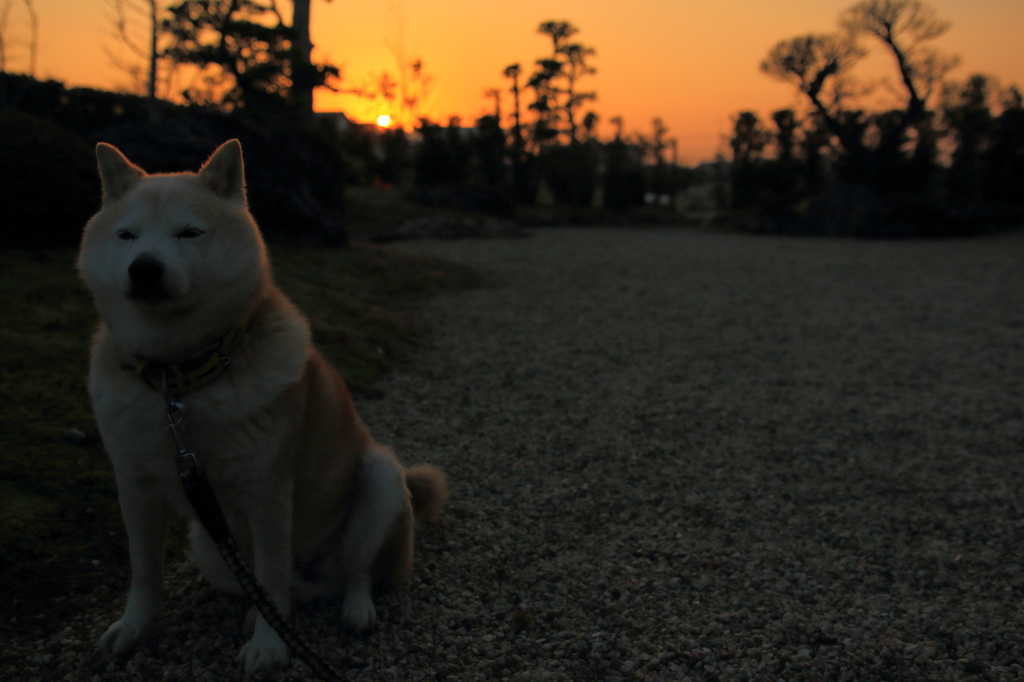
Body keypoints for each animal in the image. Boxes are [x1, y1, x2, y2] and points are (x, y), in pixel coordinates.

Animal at [79, 140, 448, 671]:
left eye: (189, 232)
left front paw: (271, 647)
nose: (144, 267)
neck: (180, 379)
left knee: (353, 573)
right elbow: (145, 570)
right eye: (127, 235)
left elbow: (271, 573)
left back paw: (353, 609)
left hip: (379, 479)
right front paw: (134, 627)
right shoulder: (135, 483)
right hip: (208, 545)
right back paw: (262, 613)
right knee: (282, 587)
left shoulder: (267, 489)